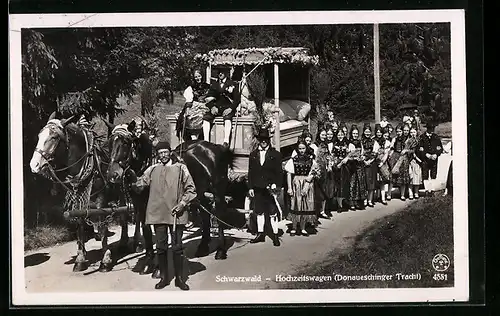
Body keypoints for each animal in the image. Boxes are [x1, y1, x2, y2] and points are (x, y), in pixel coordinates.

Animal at [28, 112, 131, 272]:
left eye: (54, 137)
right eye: (39, 135)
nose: (34, 165)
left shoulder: (101, 201)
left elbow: (102, 227)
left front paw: (105, 260)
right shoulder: (79, 199)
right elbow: (80, 224)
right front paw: (80, 259)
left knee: (127, 215)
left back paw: (126, 243)